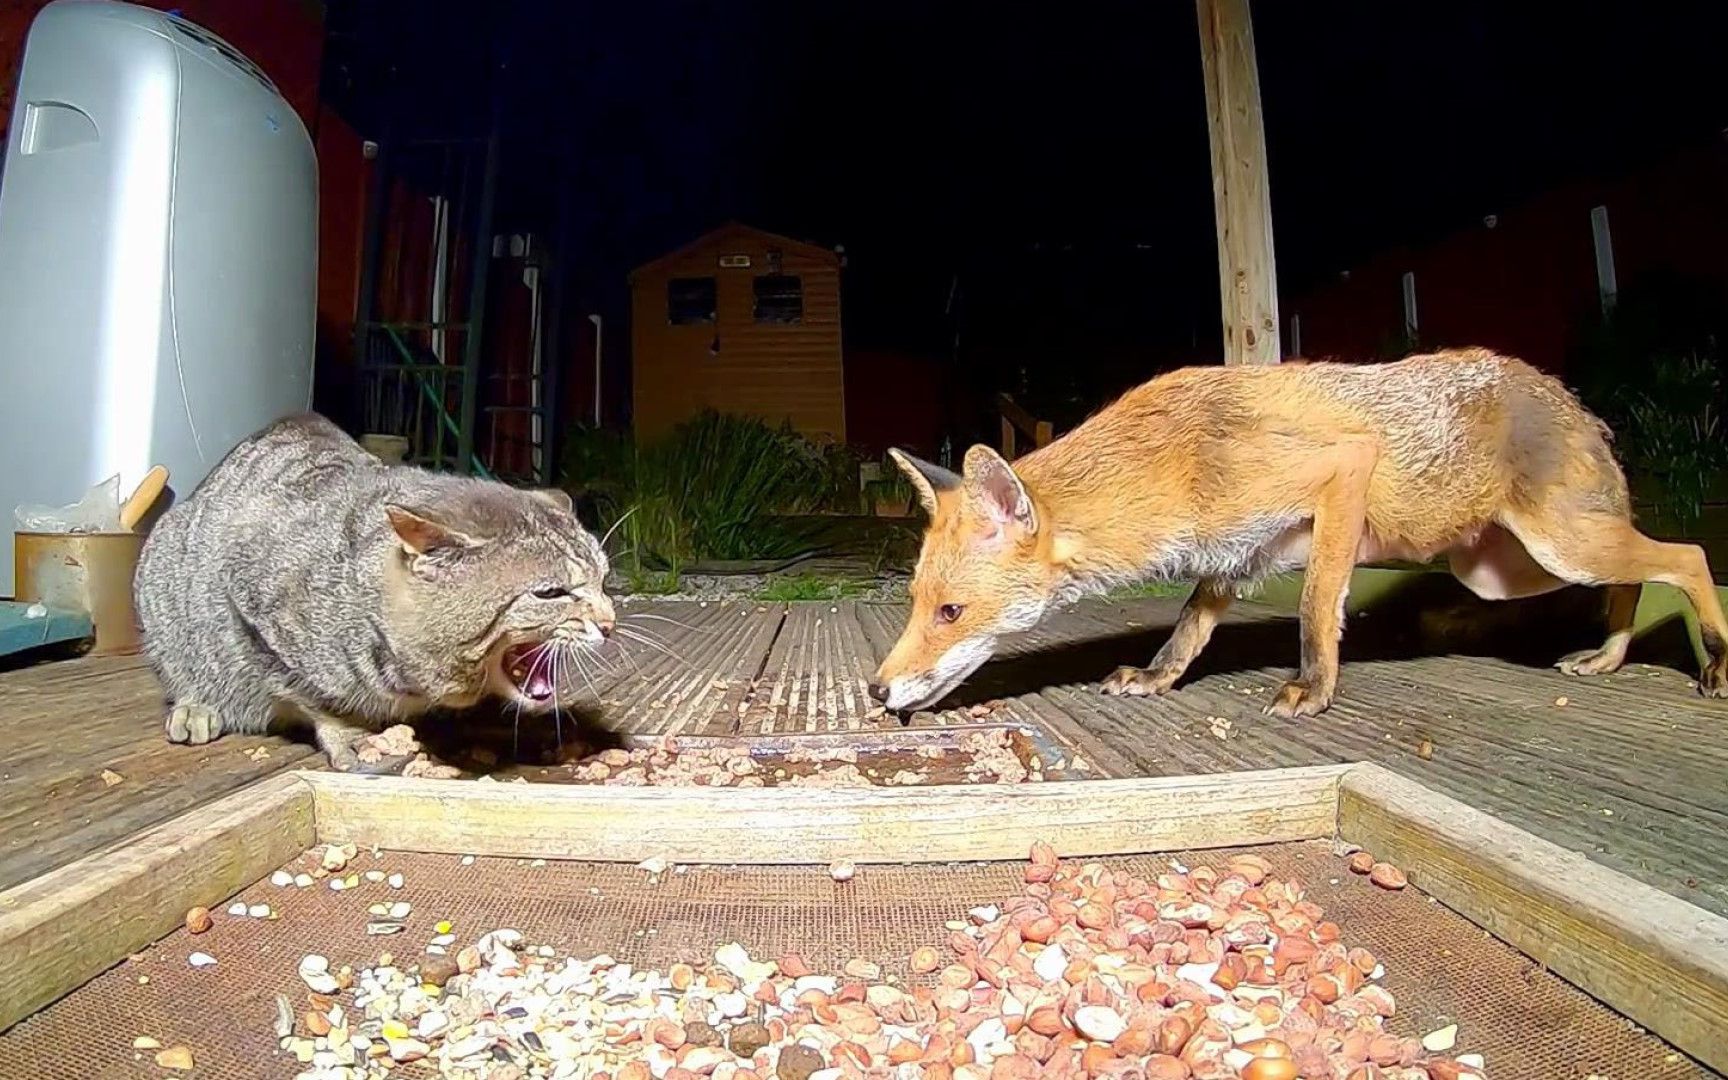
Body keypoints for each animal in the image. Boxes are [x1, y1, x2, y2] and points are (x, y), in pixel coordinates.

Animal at [138, 411, 618, 767]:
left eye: (603, 579)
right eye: (551, 593)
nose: (610, 623)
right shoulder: (253, 609)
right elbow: (316, 697)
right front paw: (352, 733)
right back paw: (196, 705)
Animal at [870, 347, 1728, 715]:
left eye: (950, 613)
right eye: (914, 605)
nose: (876, 689)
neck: (1174, 457)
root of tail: (1572, 399)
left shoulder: (1341, 473)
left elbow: (1318, 606)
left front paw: (1314, 688)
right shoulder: (1232, 556)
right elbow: (1187, 632)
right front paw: (1154, 677)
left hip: (1560, 548)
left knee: (1686, 554)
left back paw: (1711, 660)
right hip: (1506, 570)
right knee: (1635, 576)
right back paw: (1609, 655)